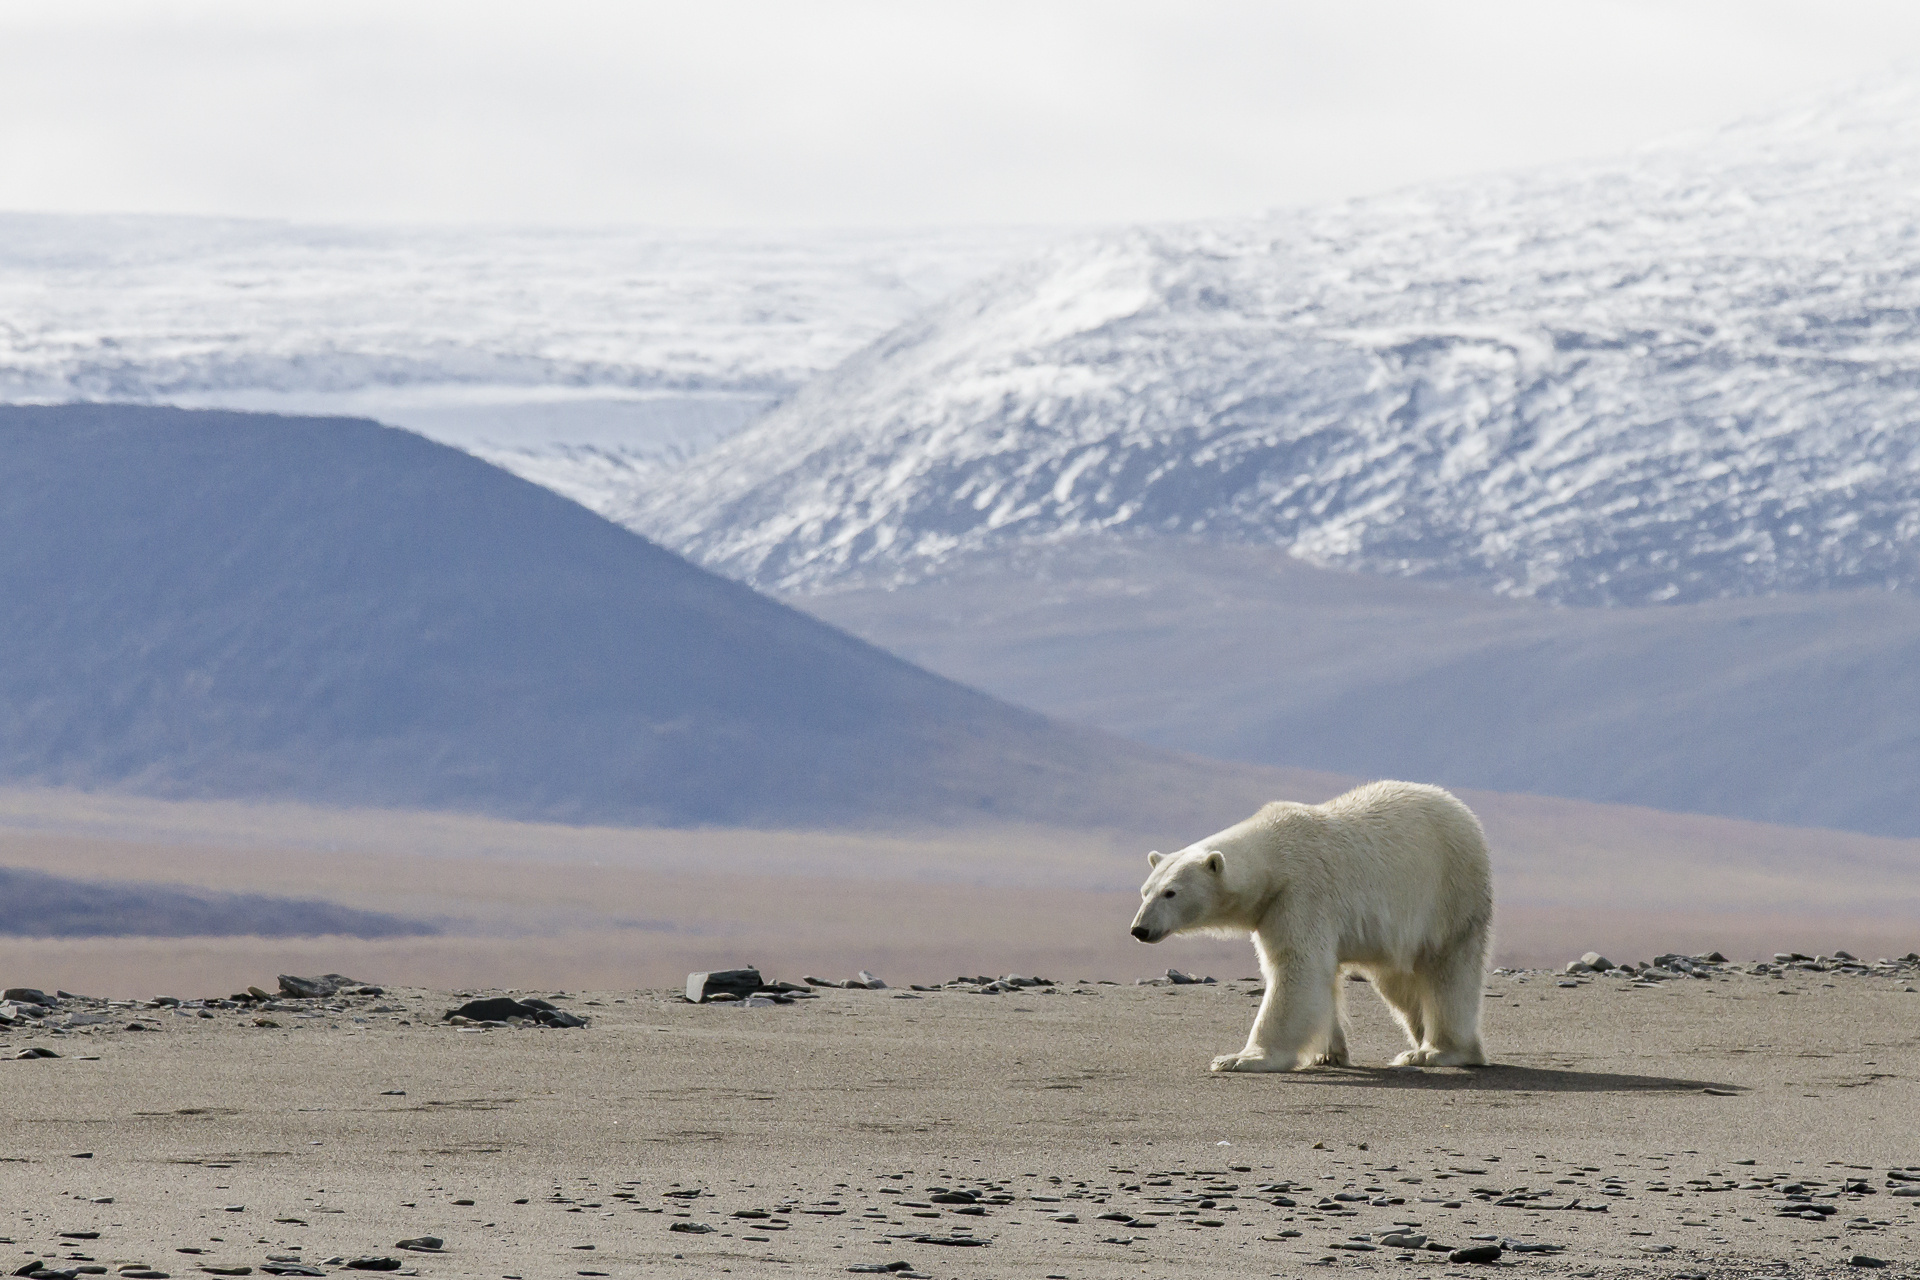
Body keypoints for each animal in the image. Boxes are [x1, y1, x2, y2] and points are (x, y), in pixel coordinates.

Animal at [1121, 782, 1497, 1074]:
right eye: (1144, 890)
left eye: (1171, 892)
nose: (1139, 929)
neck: (1274, 859)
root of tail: (1461, 809)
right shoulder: (1271, 909)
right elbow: (1322, 977)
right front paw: (1329, 1053)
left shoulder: (1300, 894)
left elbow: (1296, 967)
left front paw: (1240, 1058)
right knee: (1397, 983)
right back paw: (1419, 1041)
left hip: (1447, 892)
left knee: (1446, 970)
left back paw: (1436, 1051)